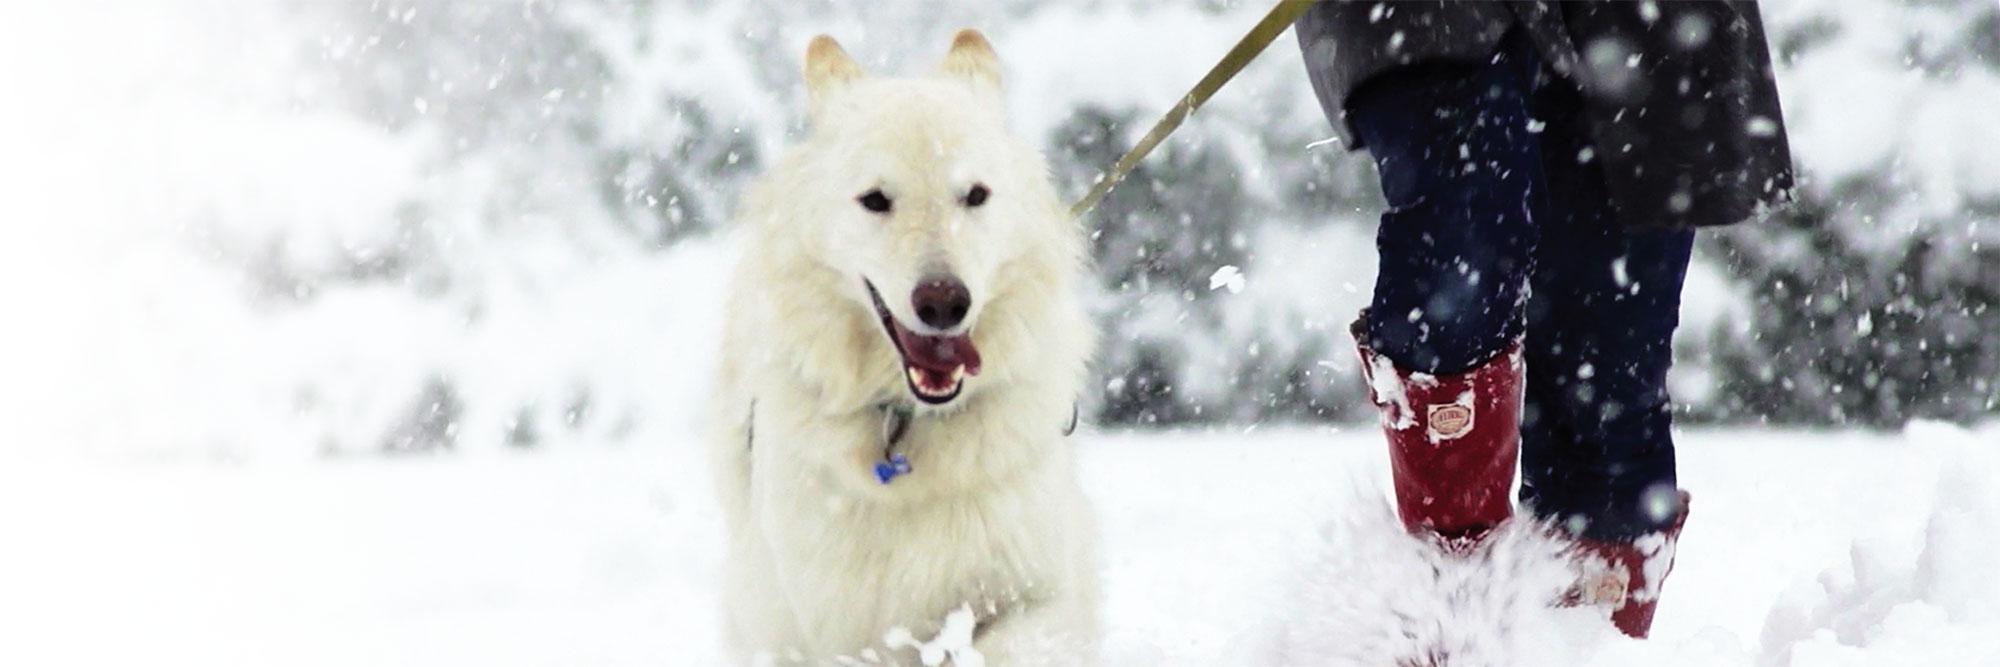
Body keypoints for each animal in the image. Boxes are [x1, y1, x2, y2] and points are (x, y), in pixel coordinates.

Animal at [712, 29, 1104, 663]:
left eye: (975, 195)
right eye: (875, 200)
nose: (944, 303)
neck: (905, 426)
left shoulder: (1035, 593)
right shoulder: (840, 630)